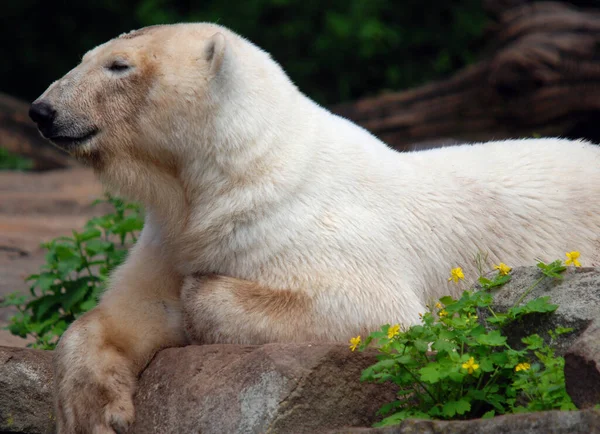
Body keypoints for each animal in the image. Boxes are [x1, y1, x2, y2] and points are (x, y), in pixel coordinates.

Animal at [29, 23, 600, 434]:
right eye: (88, 56)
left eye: (118, 65)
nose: (42, 110)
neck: (237, 173)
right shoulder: (172, 233)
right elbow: (130, 311)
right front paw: (95, 413)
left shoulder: (302, 223)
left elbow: (376, 312)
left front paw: (201, 298)